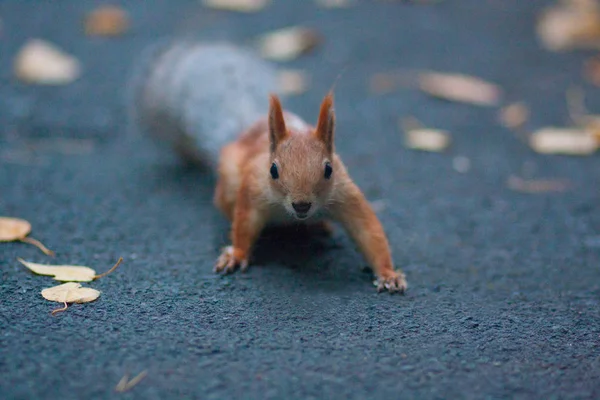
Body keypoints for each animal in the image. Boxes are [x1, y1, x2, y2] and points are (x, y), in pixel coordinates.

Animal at [128, 39, 406, 294]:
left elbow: (368, 231)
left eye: (329, 170)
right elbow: (244, 223)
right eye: (273, 170)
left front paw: (388, 274)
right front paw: (236, 255)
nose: (302, 205)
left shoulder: (344, 193)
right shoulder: (253, 189)